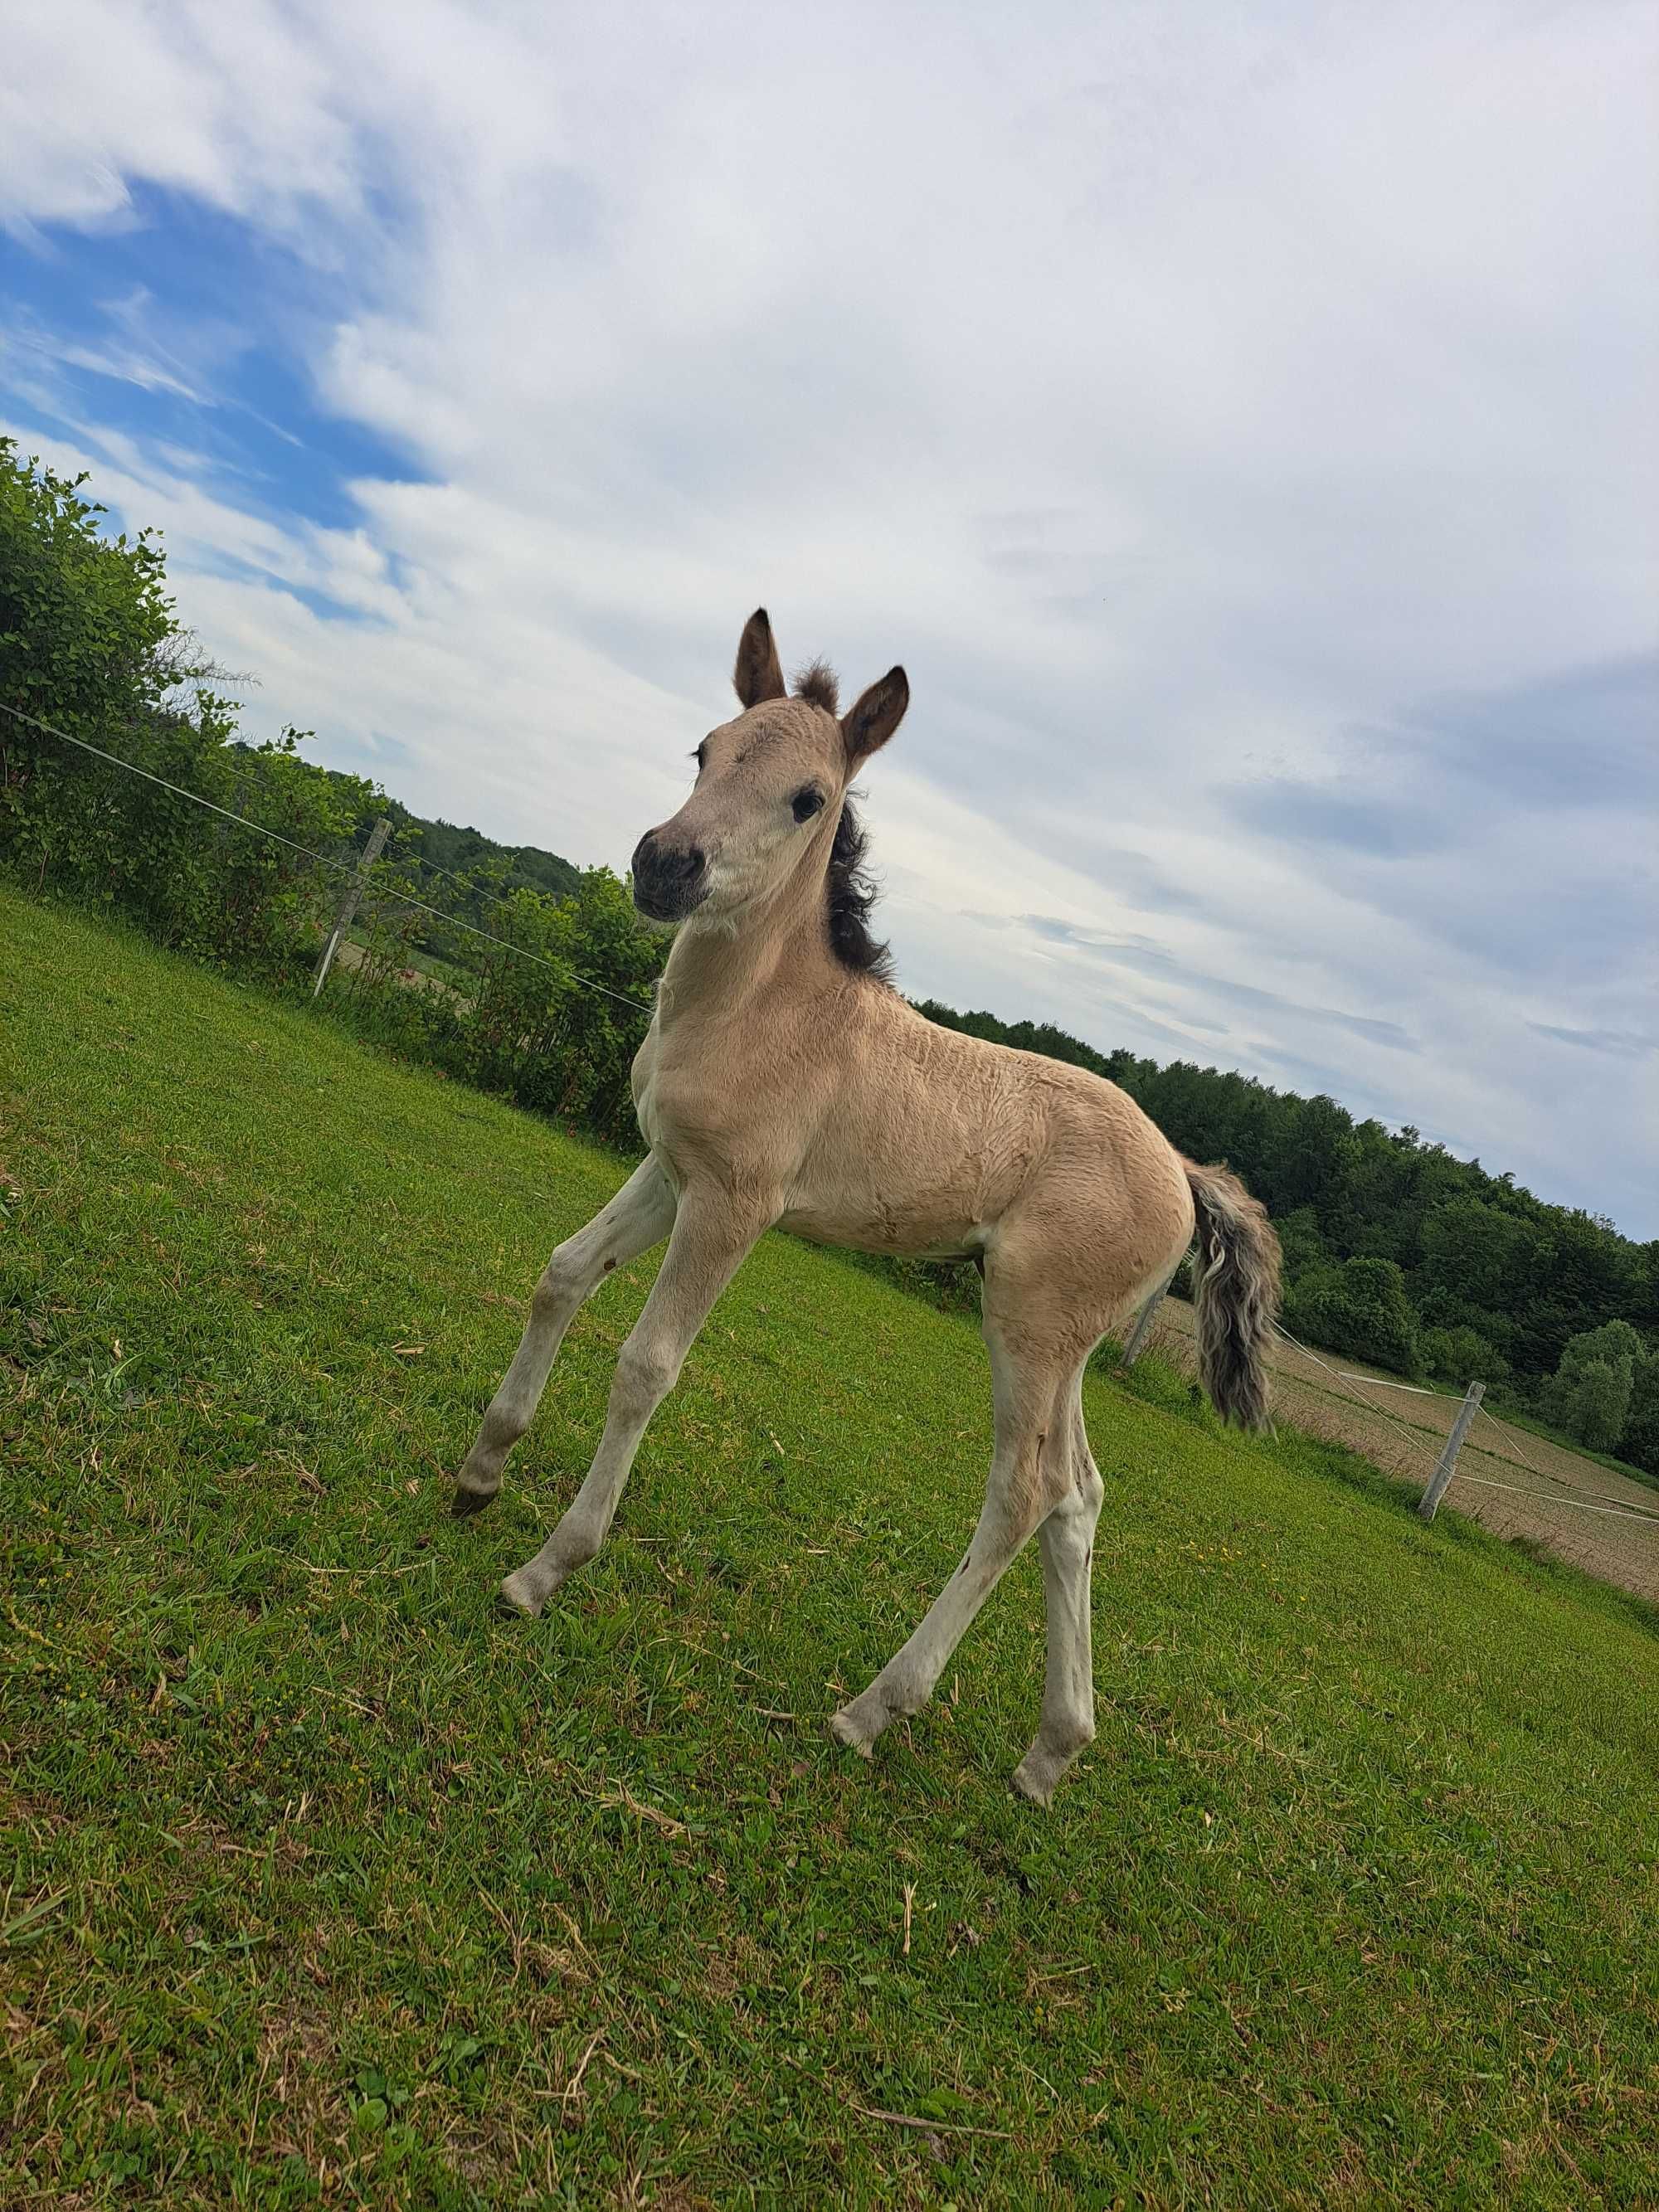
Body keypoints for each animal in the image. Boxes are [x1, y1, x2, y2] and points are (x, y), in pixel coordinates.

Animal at [449, 615, 1282, 1805]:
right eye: (703, 750)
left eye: (809, 797)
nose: (664, 864)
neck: (760, 1011)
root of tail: (1181, 1167)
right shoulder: (669, 1167)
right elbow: (563, 1270)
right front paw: (479, 1474)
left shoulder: (734, 1206)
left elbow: (647, 1364)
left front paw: (544, 1568)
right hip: (1066, 1341)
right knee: (1078, 1497)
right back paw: (1048, 1752)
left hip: (1027, 1325)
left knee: (1023, 1490)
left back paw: (870, 1710)